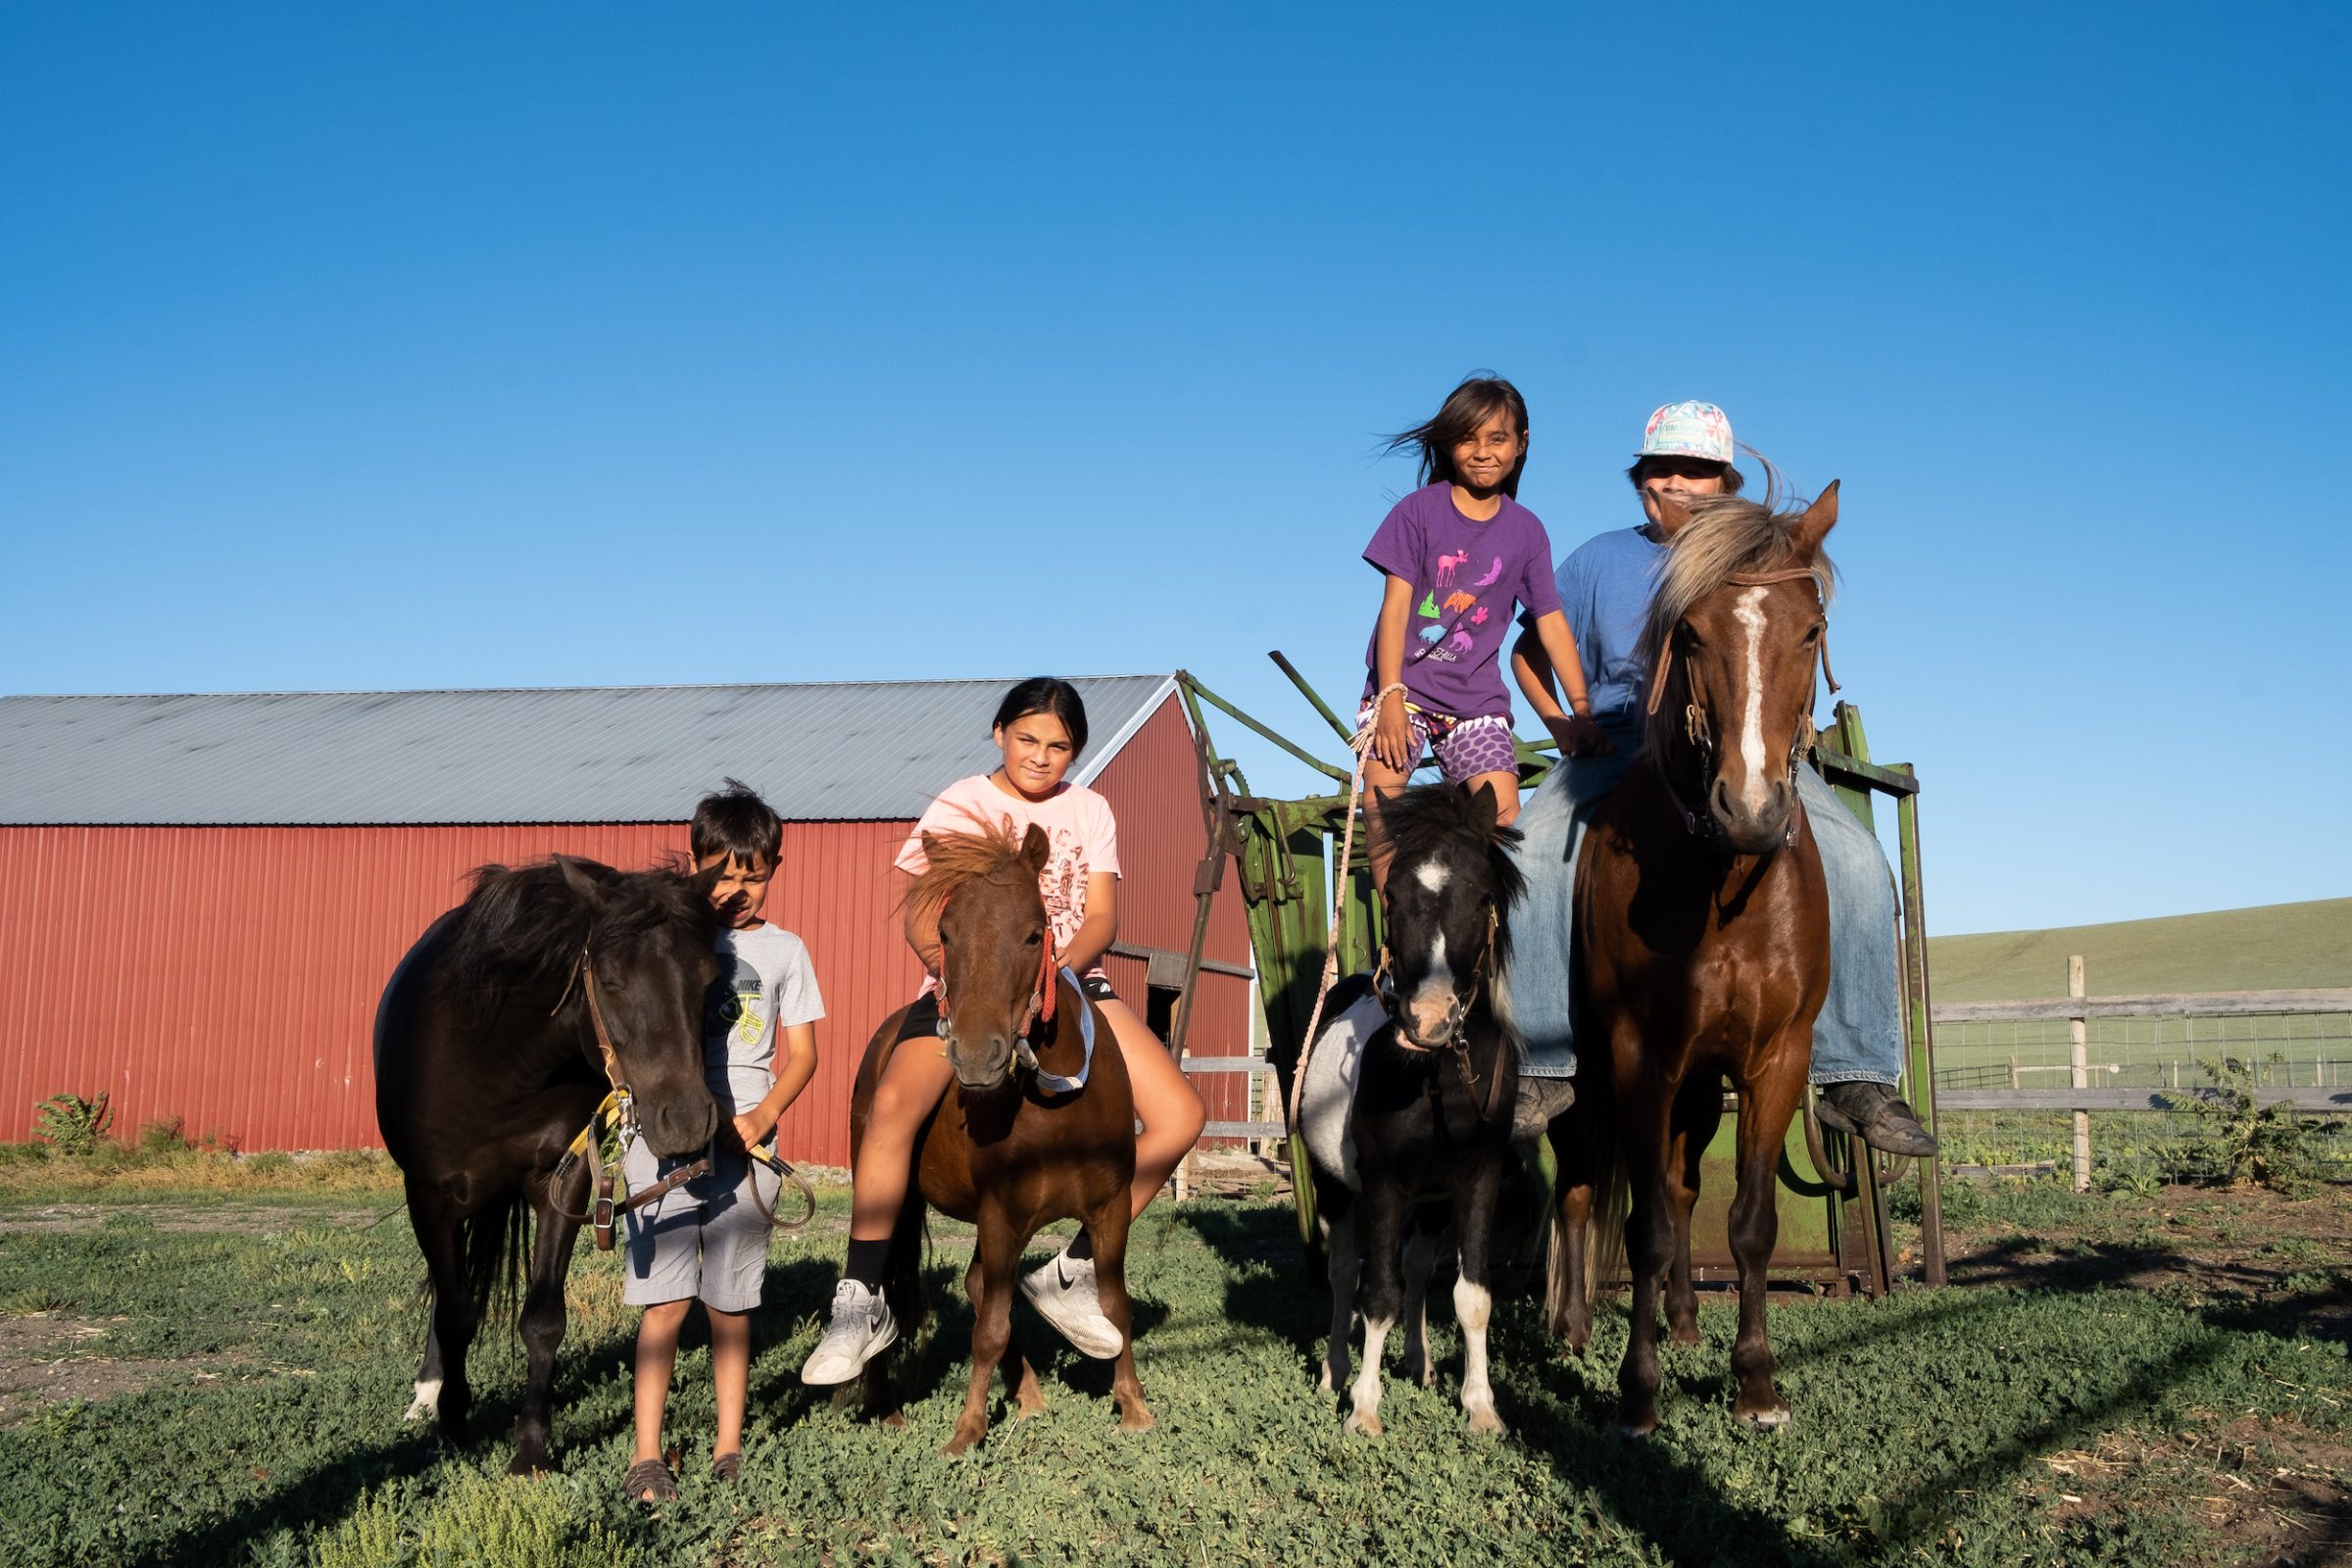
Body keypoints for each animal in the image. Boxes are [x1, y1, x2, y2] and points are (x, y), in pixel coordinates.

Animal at [371, 851, 719, 1476]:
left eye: (708, 979)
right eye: (611, 981)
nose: (687, 1121)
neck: (498, 1060)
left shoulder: (565, 1182)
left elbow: (542, 1319)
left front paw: (530, 1448)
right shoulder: (430, 1197)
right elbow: (455, 1313)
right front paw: (455, 1423)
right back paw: (429, 1394)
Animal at [851, 827, 1152, 1457]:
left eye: (1035, 932)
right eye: (944, 932)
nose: (974, 1055)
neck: (1057, 1106)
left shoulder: (1110, 1211)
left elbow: (1116, 1307)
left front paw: (1133, 1406)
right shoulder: (1000, 1216)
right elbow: (989, 1328)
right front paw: (967, 1430)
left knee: (972, 1284)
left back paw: (1029, 1394)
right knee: (889, 1287)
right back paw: (886, 1407)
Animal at [1307, 780, 1524, 1439]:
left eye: (1481, 894)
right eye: (1392, 894)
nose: (1428, 1022)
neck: (1437, 1081)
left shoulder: (1478, 1180)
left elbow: (1471, 1296)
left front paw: (1481, 1406)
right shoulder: (1382, 1184)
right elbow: (1376, 1293)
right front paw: (1364, 1408)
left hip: (1430, 1204)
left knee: (1421, 1267)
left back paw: (1420, 1362)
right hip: (1334, 1186)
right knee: (1343, 1272)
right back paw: (1335, 1370)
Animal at [1552, 484, 1843, 1439]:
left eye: (1811, 631)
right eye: (1689, 635)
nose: (1750, 809)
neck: (1725, 885)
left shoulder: (1773, 1059)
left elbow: (1746, 1221)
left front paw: (1755, 1383)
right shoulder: (1639, 1054)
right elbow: (1640, 1226)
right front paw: (1637, 1394)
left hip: (1699, 1087)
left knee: (1680, 1192)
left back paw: (1681, 1321)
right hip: (1587, 1080)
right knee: (1578, 1190)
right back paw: (1572, 1328)